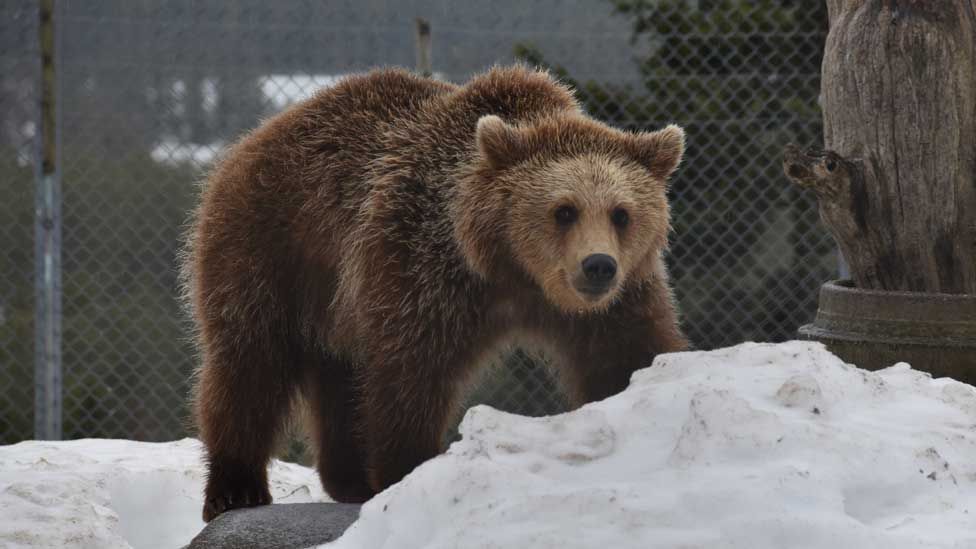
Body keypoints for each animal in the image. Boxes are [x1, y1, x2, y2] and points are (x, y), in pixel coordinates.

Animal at [181, 65, 688, 524]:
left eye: (621, 213)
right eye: (564, 210)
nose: (598, 265)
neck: (511, 271)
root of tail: (259, 134)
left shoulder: (618, 299)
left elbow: (627, 355)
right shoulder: (421, 268)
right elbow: (411, 374)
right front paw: (406, 470)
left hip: (332, 298)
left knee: (337, 375)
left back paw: (348, 478)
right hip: (270, 247)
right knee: (250, 362)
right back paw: (235, 487)